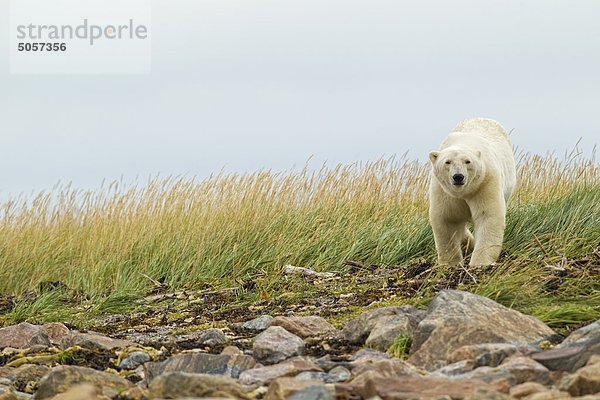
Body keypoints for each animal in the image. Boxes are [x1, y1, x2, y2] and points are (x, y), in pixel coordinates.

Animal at [426, 117, 516, 266]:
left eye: (467, 161)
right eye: (447, 162)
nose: (458, 177)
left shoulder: (485, 182)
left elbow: (488, 215)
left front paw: (480, 262)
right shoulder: (443, 191)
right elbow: (446, 218)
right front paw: (451, 262)